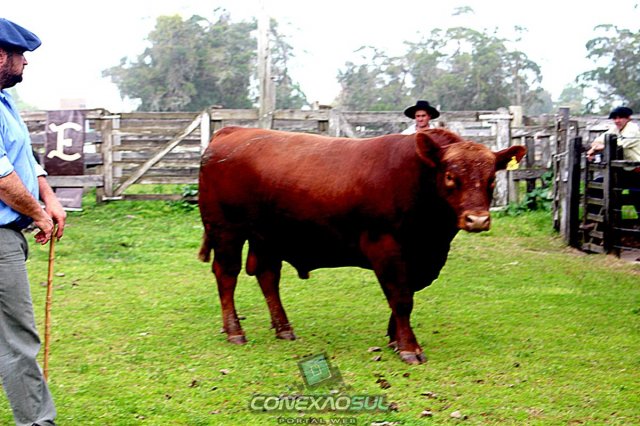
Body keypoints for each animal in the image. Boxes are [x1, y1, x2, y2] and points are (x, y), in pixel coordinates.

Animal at [198, 127, 525, 364]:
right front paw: (409, 347)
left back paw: (284, 329)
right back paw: (235, 332)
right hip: (226, 230)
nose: (477, 219)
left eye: (491, 179)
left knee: (268, 276)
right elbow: (401, 299)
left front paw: (395, 340)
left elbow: (403, 297)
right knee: (227, 275)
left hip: (267, 236)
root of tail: (231, 131)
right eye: (450, 176)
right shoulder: (386, 248)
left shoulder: (417, 258)